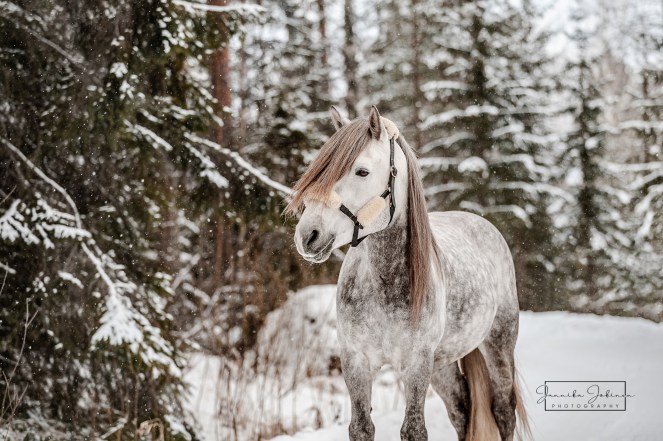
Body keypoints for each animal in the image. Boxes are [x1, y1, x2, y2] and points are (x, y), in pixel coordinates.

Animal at [286, 106, 530, 441]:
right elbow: (361, 427)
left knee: (503, 410)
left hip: (498, 343)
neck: (383, 283)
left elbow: (413, 429)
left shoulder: (416, 364)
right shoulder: (356, 361)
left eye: (362, 172)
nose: (307, 235)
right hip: (442, 363)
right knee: (462, 409)